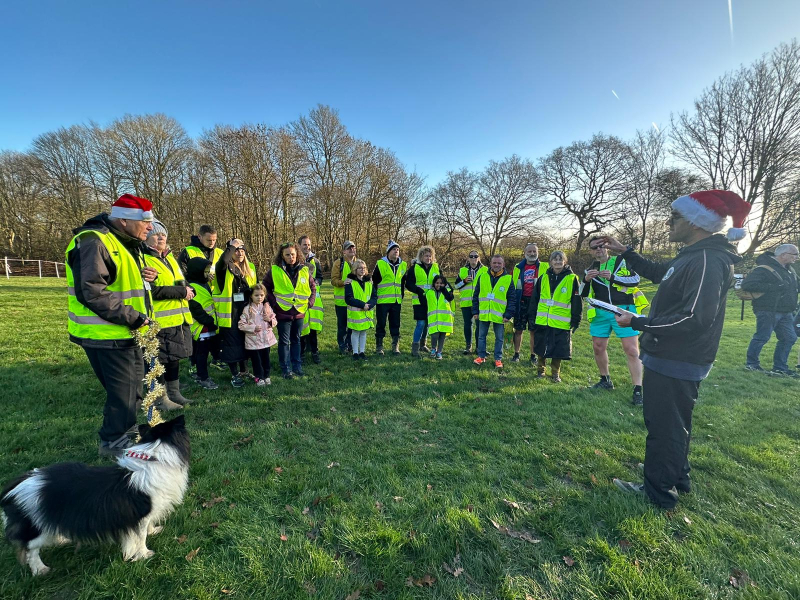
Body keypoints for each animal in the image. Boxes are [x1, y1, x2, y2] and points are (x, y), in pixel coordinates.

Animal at [0, 414, 190, 576]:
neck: (154, 456)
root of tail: (16, 486)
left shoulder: (148, 513)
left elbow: (149, 526)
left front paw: (154, 531)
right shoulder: (140, 516)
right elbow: (140, 536)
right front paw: (144, 554)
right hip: (36, 528)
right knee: (29, 549)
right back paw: (40, 569)